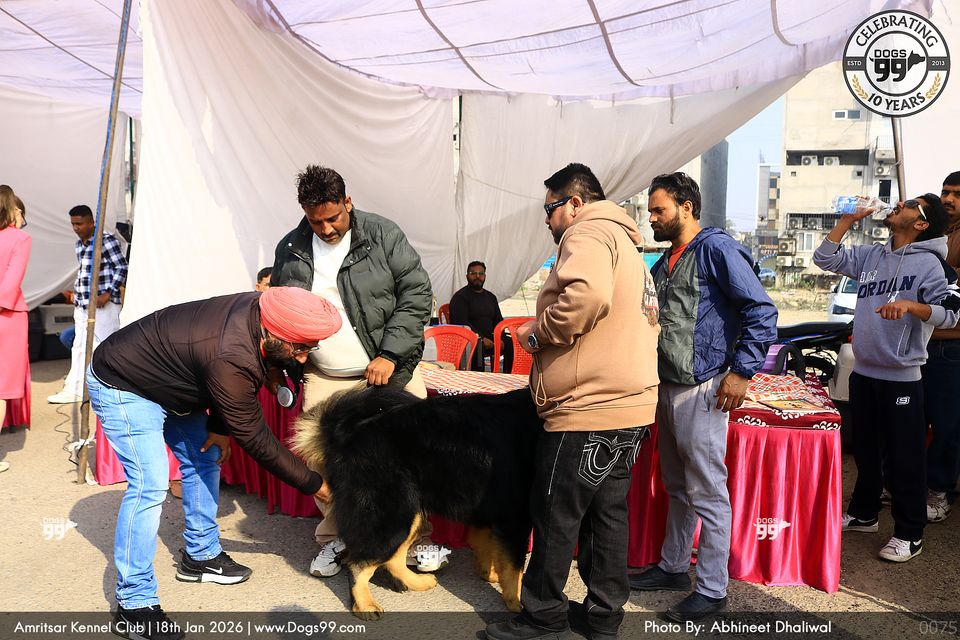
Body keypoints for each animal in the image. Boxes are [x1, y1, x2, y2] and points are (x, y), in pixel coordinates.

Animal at [292, 386, 542, 620]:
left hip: (410, 513)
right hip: (395, 515)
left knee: (392, 558)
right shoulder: (516, 519)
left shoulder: (489, 514)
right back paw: (364, 604)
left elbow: (488, 549)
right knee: (359, 562)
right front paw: (517, 602)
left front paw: (489, 574)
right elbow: (514, 568)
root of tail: (346, 433)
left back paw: (416, 582)